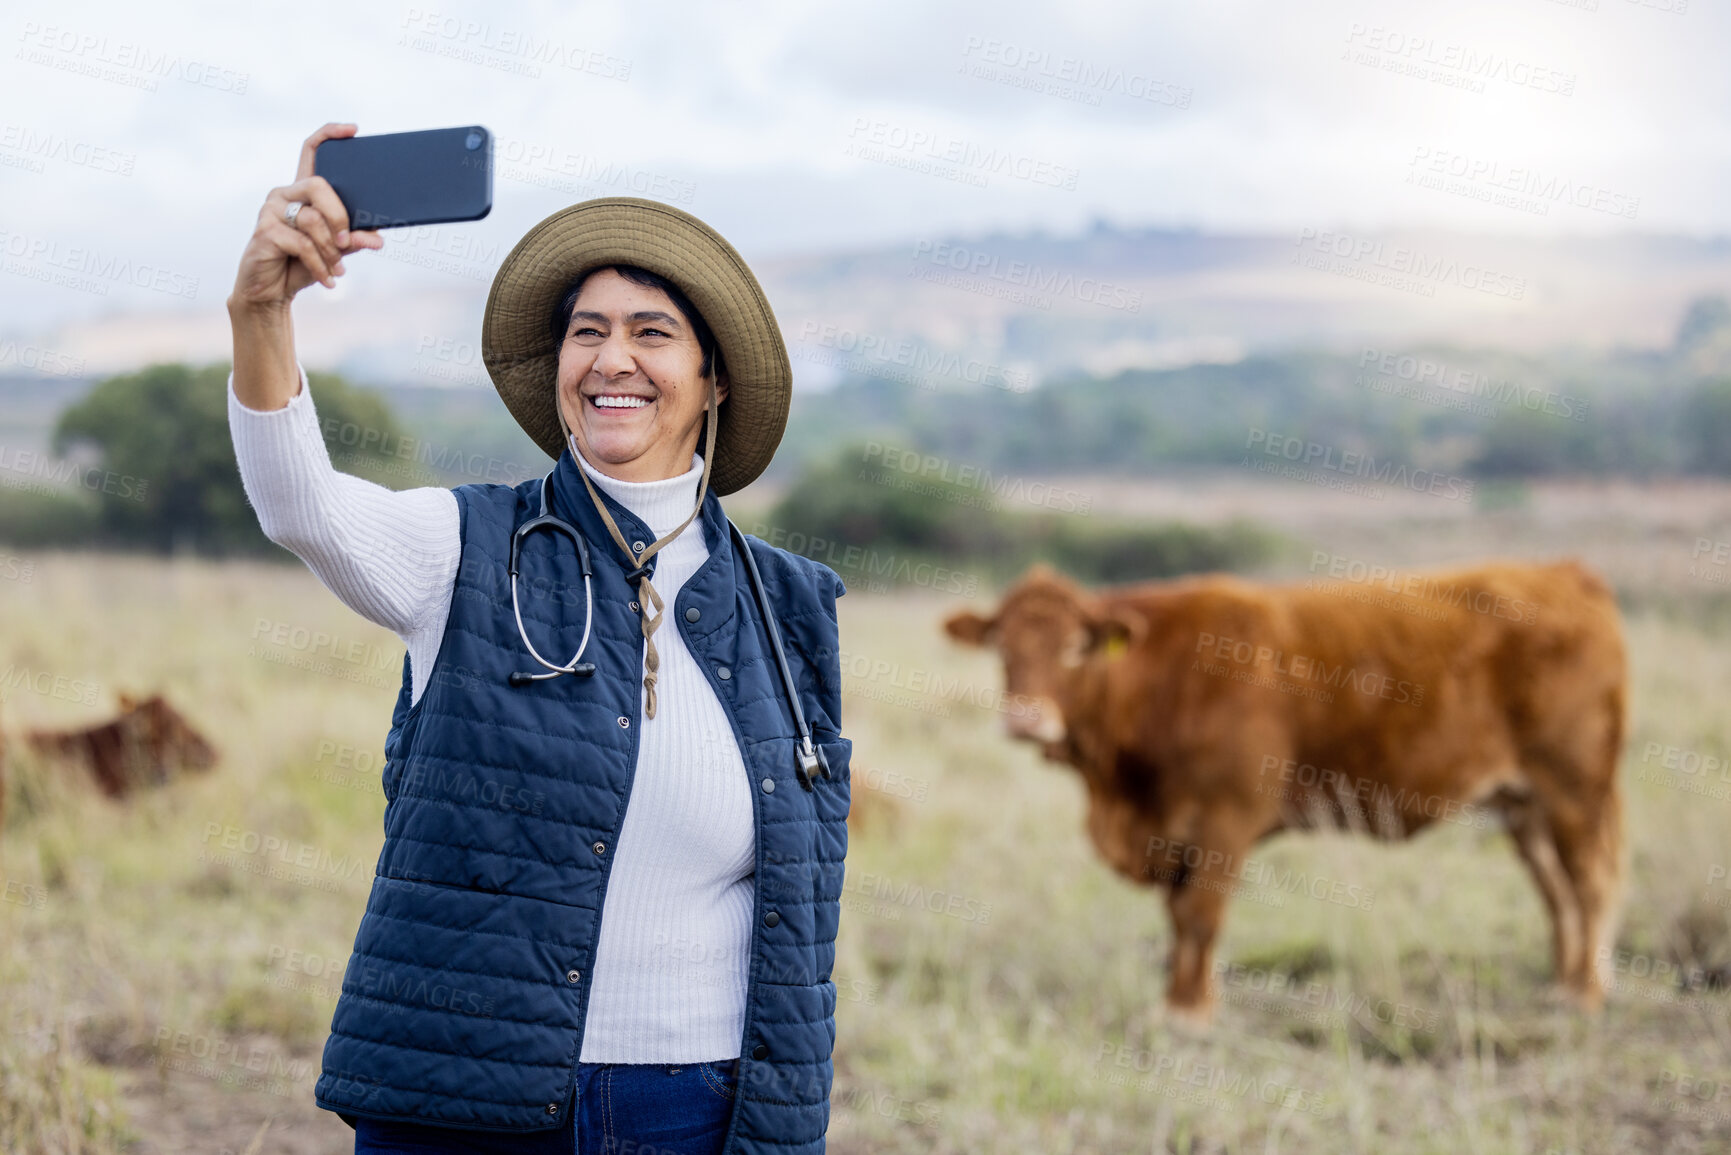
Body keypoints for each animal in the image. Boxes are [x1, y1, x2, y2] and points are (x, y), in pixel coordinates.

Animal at [941, 561, 1627, 1018]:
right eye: (1002, 646)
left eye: (1076, 647)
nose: (1025, 719)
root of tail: (1562, 571)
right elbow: (1178, 915)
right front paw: (1181, 997)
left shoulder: (1225, 818)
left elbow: (1200, 915)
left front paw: (1191, 1010)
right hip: (1523, 804)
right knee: (1555, 890)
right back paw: (1562, 981)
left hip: (1574, 789)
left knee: (1591, 883)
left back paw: (1586, 992)